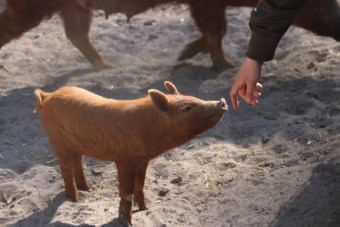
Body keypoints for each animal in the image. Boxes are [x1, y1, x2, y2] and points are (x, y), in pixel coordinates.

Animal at [33, 81, 227, 225]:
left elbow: (139, 185)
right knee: (65, 169)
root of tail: (47, 96)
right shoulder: (123, 159)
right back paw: (76, 199)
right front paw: (127, 222)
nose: (222, 102)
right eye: (186, 108)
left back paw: (87, 189)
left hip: (76, 145)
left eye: (194, 97)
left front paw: (145, 209)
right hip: (57, 141)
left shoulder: (142, 160)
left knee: (77, 161)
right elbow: (126, 191)